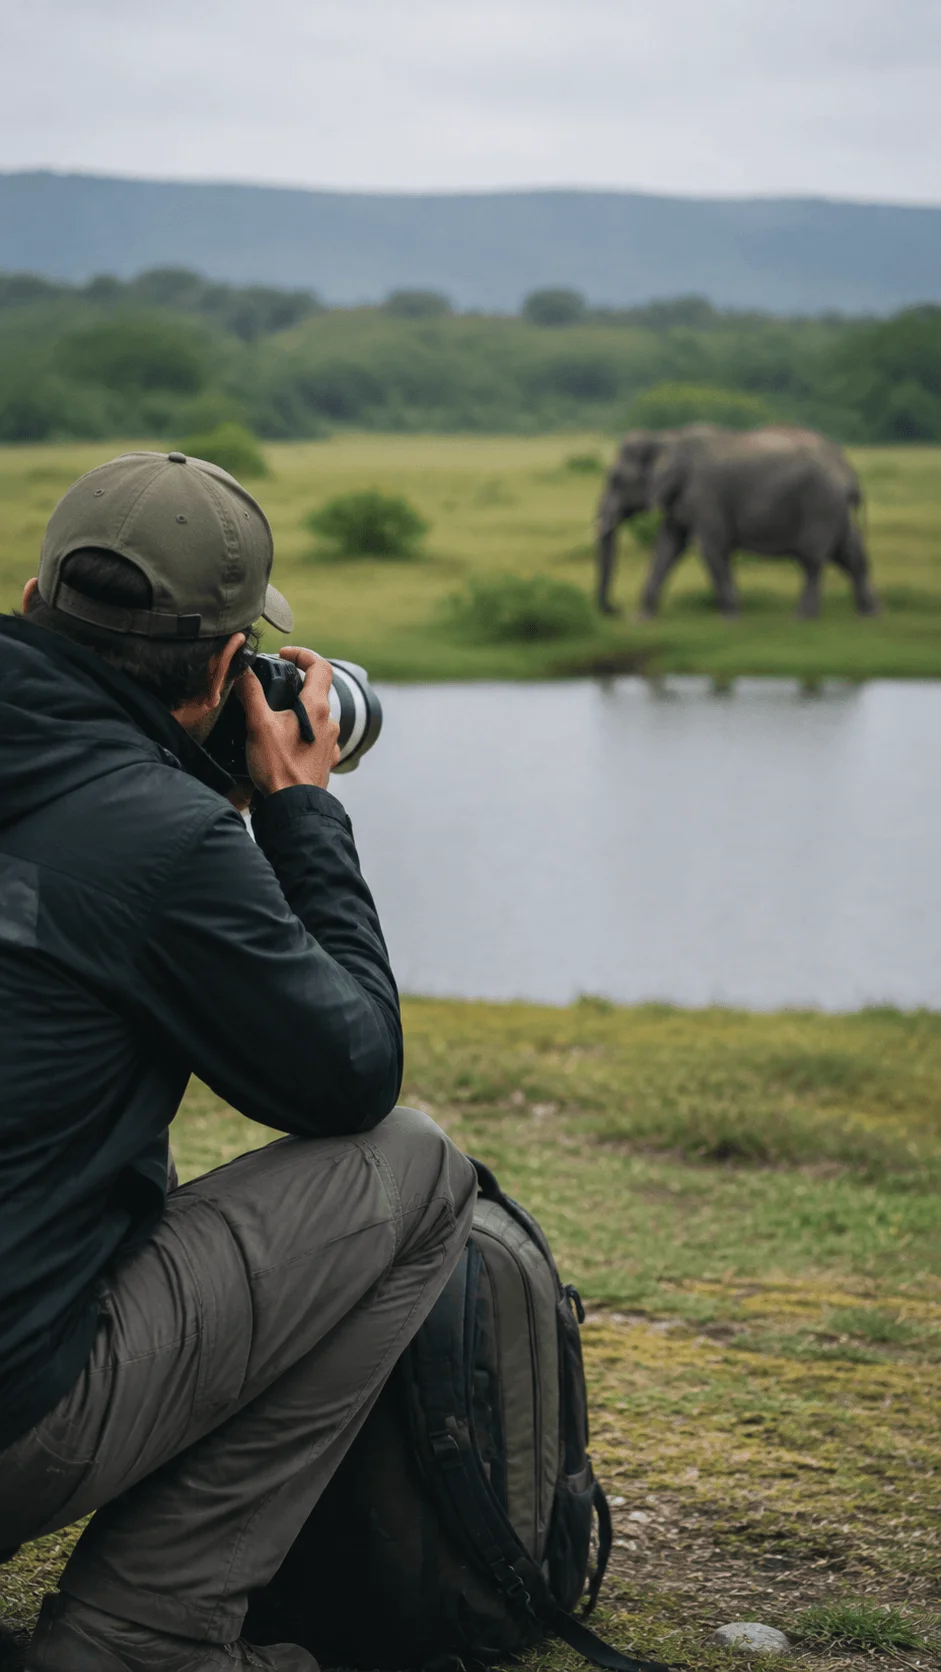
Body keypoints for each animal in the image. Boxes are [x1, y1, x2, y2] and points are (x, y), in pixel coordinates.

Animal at [595, 424, 880, 619]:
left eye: (616, 479)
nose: (614, 610)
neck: (665, 438)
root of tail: (848, 471)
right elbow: (668, 546)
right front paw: (642, 618)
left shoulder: (706, 495)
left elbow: (711, 549)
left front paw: (731, 616)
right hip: (835, 509)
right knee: (849, 554)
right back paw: (869, 613)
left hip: (820, 505)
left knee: (813, 559)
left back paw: (801, 617)